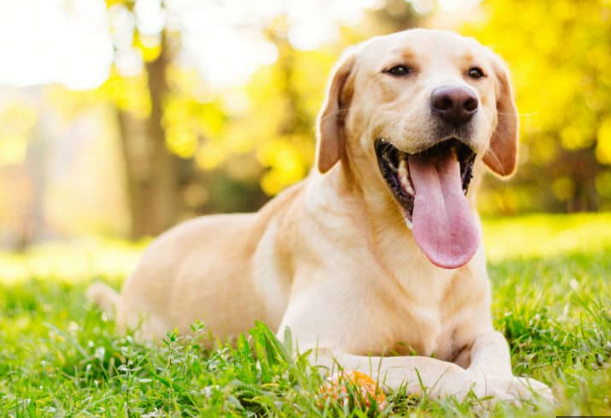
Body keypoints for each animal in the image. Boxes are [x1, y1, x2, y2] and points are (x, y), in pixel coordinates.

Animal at [89, 28, 556, 402]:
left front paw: (509, 382)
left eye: (476, 74)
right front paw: (494, 389)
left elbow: (494, 346)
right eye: (398, 70)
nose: (457, 101)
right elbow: (424, 365)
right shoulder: (307, 349)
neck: (407, 243)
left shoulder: (477, 331)